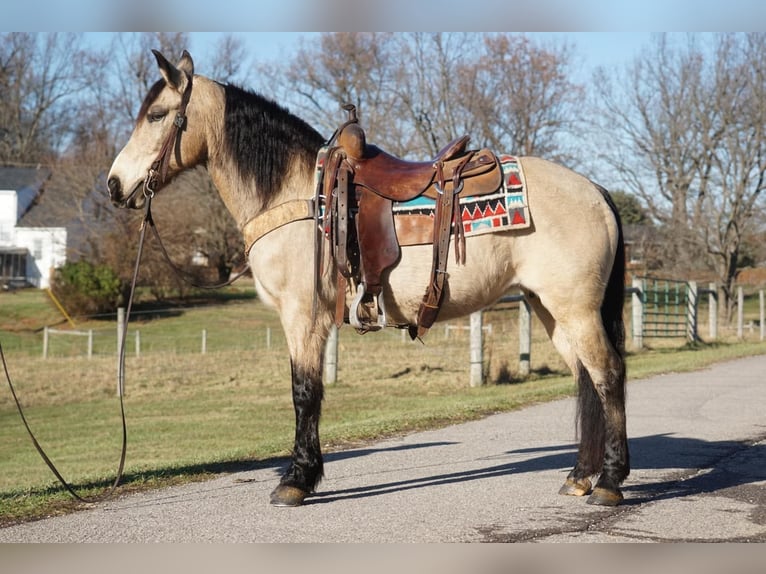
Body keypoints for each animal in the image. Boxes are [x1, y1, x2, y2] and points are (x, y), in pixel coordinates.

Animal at [107, 50, 629, 508]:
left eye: (157, 114)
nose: (114, 184)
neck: (297, 195)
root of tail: (595, 189)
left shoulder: (303, 318)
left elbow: (304, 393)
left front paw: (296, 480)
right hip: (549, 309)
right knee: (585, 378)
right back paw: (579, 477)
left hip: (575, 310)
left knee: (608, 375)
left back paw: (609, 482)